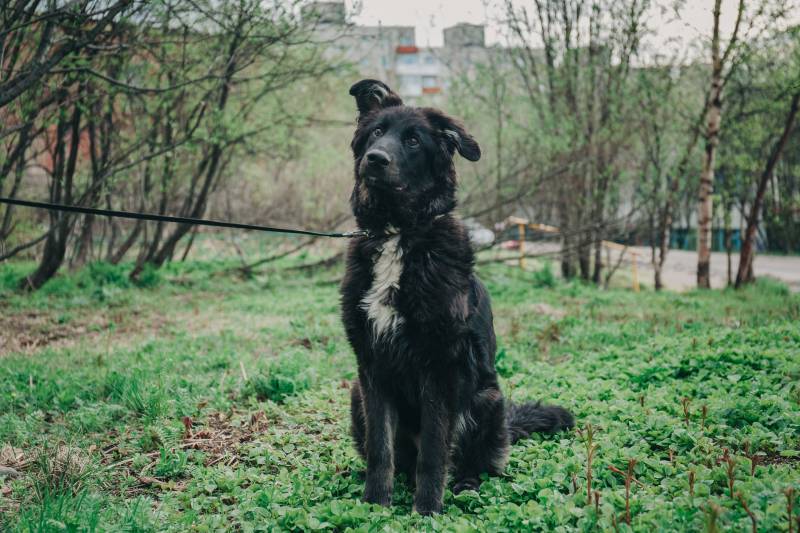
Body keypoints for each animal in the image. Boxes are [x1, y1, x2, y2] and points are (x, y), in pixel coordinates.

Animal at [340, 78, 572, 512]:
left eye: (414, 141)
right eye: (377, 133)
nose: (375, 159)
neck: (398, 233)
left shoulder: (442, 366)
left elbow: (434, 451)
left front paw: (426, 509)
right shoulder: (372, 367)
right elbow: (380, 449)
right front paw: (375, 505)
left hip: (486, 400)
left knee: (475, 462)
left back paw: (464, 484)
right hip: (355, 395)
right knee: (399, 457)